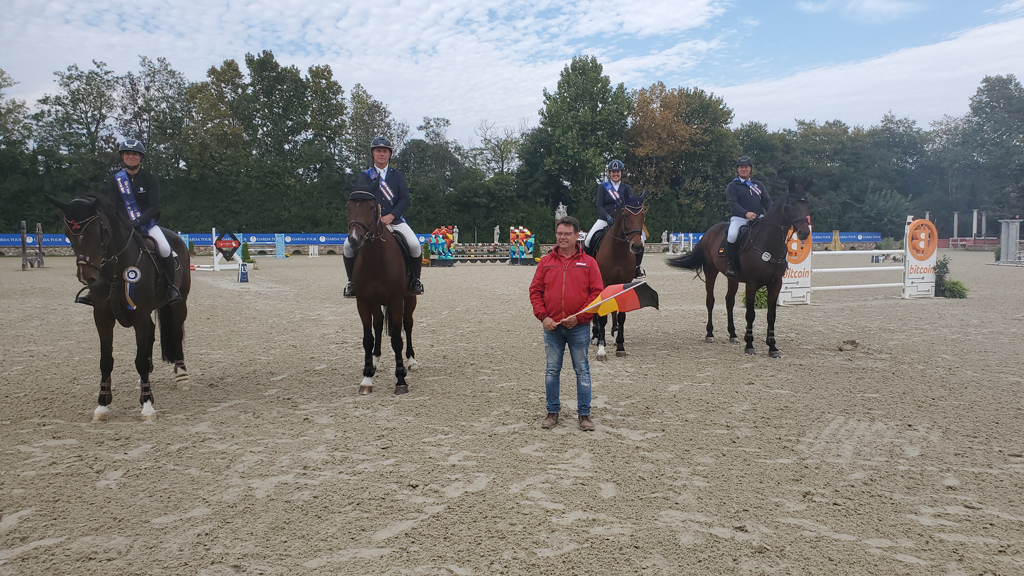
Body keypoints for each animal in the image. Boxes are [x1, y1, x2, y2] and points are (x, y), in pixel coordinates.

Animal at [46, 194, 190, 420]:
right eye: (67, 234)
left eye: (99, 230)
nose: (87, 276)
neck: (114, 269)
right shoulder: (102, 317)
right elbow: (106, 360)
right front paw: (102, 405)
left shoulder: (140, 314)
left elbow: (139, 360)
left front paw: (147, 406)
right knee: (151, 335)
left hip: (179, 304)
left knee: (175, 334)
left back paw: (182, 375)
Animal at [345, 190, 418, 395]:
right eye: (348, 207)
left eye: (371, 207)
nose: (354, 239)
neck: (375, 258)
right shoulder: (362, 302)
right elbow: (368, 338)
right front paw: (367, 378)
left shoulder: (396, 300)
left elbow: (397, 339)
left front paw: (400, 380)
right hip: (375, 302)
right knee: (377, 325)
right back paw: (376, 359)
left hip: (410, 299)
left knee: (408, 325)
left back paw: (412, 360)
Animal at [591, 191, 648, 361]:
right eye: (625, 215)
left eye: (643, 215)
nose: (636, 246)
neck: (617, 250)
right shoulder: (603, 282)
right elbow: (602, 315)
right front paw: (601, 349)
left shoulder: (625, 282)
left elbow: (621, 315)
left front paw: (621, 345)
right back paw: (595, 336)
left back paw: (614, 331)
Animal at [666, 184, 810, 357]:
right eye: (792, 204)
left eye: (806, 204)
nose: (805, 232)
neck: (769, 243)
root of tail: (708, 232)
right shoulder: (752, 284)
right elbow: (750, 314)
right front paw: (749, 345)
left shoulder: (776, 284)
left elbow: (771, 315)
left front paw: (772, 347)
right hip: (710, 271)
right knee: (710, 300)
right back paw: (710, 334)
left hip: (732, 278)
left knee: (729, 301)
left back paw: (733, 335)